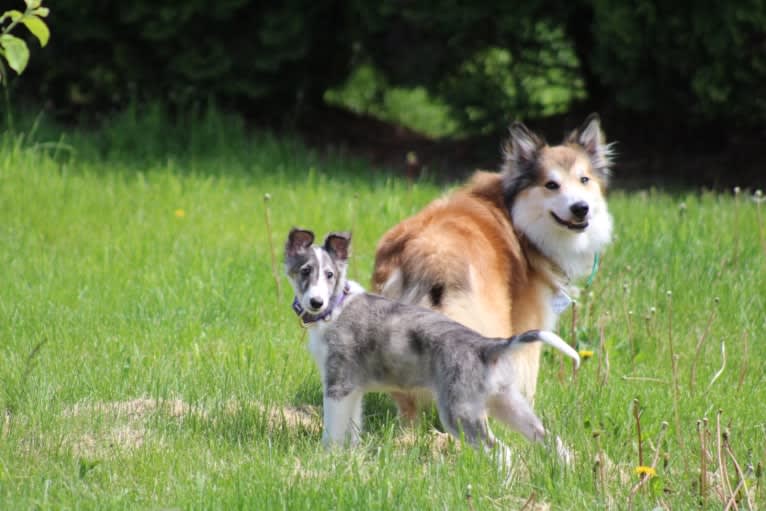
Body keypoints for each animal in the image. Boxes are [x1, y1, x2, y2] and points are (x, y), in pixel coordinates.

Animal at [284, 228, 580, 456]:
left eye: (330, 275)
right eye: (305, 271)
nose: (316, 302)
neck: (336, 308)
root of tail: (488, 346)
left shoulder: (338, 385)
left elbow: (332, 432)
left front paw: (327, 459)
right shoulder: (353, 390)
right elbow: (352, 429)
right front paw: (351, 457)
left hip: (460, 412)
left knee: (501, 451)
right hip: (506, 403)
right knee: (549, 439)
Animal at [376, 114, 616, 422]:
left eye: (584, 179)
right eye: (551, 185)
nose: (581, 208)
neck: (516, 217)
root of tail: (428, 257)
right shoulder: (529, 320)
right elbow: (530, 374)